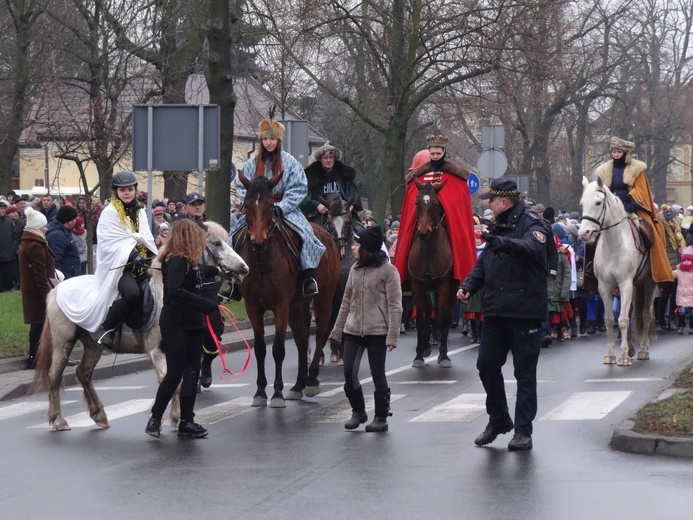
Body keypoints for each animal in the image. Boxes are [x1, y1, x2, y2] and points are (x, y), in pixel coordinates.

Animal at [29, 222, 249, 430]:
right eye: (217, 243)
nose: (244, 269)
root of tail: (56, 289)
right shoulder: (157, 351)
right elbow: (170, 381)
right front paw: (171, 417)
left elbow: (176, 381)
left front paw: (172, 417)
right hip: (63, 342)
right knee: (54, 376)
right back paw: (59, 421)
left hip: (93, 345)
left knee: (83, 373)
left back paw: (100, 416)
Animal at [232, 172, 340, 406]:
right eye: (247, 205)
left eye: (270, 205)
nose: (259, 242)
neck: (262, 260)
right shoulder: (253, 307)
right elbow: (261, 349)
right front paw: (260, 392)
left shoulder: (280, 305)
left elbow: (278, 349)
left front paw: (277, 392)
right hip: (296, 306)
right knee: (302, 340)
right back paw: (298, 385)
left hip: (324, 298)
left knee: (320, 334)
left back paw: (312, 381)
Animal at [408, 181, 456, 368]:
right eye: (416, 203)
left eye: (436, 204)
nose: (423, 232)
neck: (428, 249)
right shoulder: (417, 286)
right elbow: (422, 320)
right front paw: (419, 354)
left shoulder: (444, 286)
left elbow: (442, 319)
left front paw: (443, 355)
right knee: (428, 314)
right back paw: (426, 346)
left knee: (446, 316)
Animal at [580, 176, 656, 366]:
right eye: (582, 204)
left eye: (598, 202)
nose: (584, 234)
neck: (614, 245)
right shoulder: (604, 287)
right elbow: (609, 319)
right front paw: (610, 355)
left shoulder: (625, 283)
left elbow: (622, 320)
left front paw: (623, 357)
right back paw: (631, 348)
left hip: (649, 283)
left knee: (645, 315)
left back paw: (643, 350)